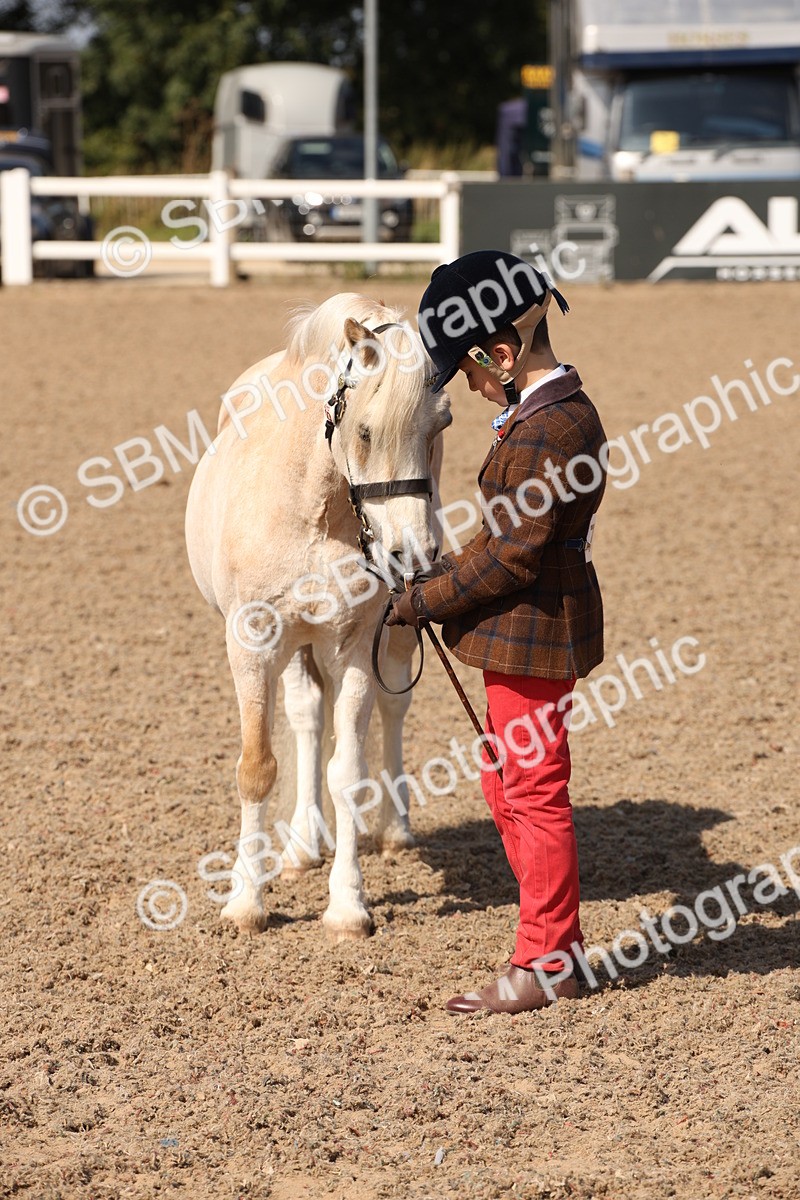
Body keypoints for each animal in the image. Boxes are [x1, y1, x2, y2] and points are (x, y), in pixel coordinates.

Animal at [185, 293, 451, 940]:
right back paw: (304, 845)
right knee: (307, 716)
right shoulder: (252, 644)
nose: (412, 556)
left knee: (390, 711)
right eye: (366, 430)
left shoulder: (358, 647)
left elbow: (348, 772)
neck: (313, 507)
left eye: (440, 428)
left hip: (390, 642)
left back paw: (395, 830)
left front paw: (348, 906)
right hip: (295, 648)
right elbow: (258, 768)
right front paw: (246, 902)